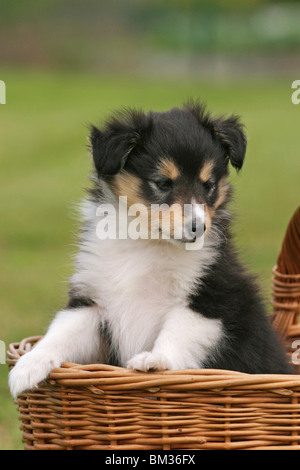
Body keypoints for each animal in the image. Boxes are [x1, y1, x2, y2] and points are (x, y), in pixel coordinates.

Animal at [9, 102, 292, 396]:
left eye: (208, 185)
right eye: (163, 183)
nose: (198, 227)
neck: (147, 243)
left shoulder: (214, 296)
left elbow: (178, 332)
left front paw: (155, 361)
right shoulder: (93, 302)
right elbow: (61, 331)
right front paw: (27, 366)